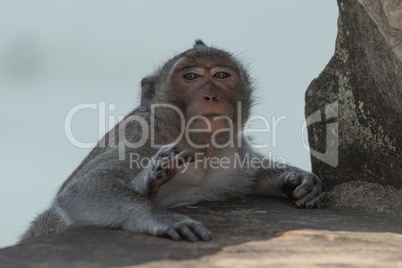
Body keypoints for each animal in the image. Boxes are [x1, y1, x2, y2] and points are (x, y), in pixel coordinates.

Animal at [20, 40, 326, 243]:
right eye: (191, 76)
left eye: (221, 75)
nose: (210, 95)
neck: (198, 146)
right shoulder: (144, 137)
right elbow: (80, 190)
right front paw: (160, 218)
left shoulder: (234, 153)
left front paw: (295, 179)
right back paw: (148, 185)